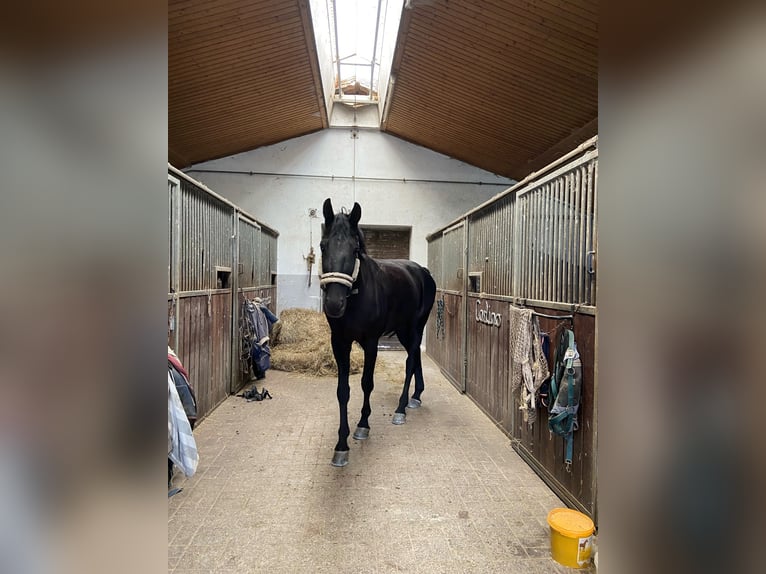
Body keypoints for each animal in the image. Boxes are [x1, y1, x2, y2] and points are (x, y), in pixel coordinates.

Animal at [320, 198, 437, 467]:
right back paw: (416, 396)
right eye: (322, 246)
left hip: (416, 327)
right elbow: (343, 391)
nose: (334, 304)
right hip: (404, 331)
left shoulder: (371, 342)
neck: (357, 297)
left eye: (355, 250)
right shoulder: (339, 343)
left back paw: (401, 409)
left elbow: (366, 383)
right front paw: (341, 445)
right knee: (415, 358)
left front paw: (363, 425)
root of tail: (423, 271)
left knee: (410, 362)